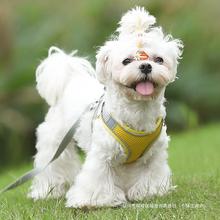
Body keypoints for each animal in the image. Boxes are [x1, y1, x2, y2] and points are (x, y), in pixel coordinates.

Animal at [28, 6, 183, 207]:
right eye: (126, 61)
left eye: (159, 60)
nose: (146, 66)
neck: (137, 112)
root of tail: (71, 79)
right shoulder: (102, 155)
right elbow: (97, 178)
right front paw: (97, 200)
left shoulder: (154, 156)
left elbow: (150, 174)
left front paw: (147, 192)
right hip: (55, 141)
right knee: (54, 163)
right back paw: (48, 191)